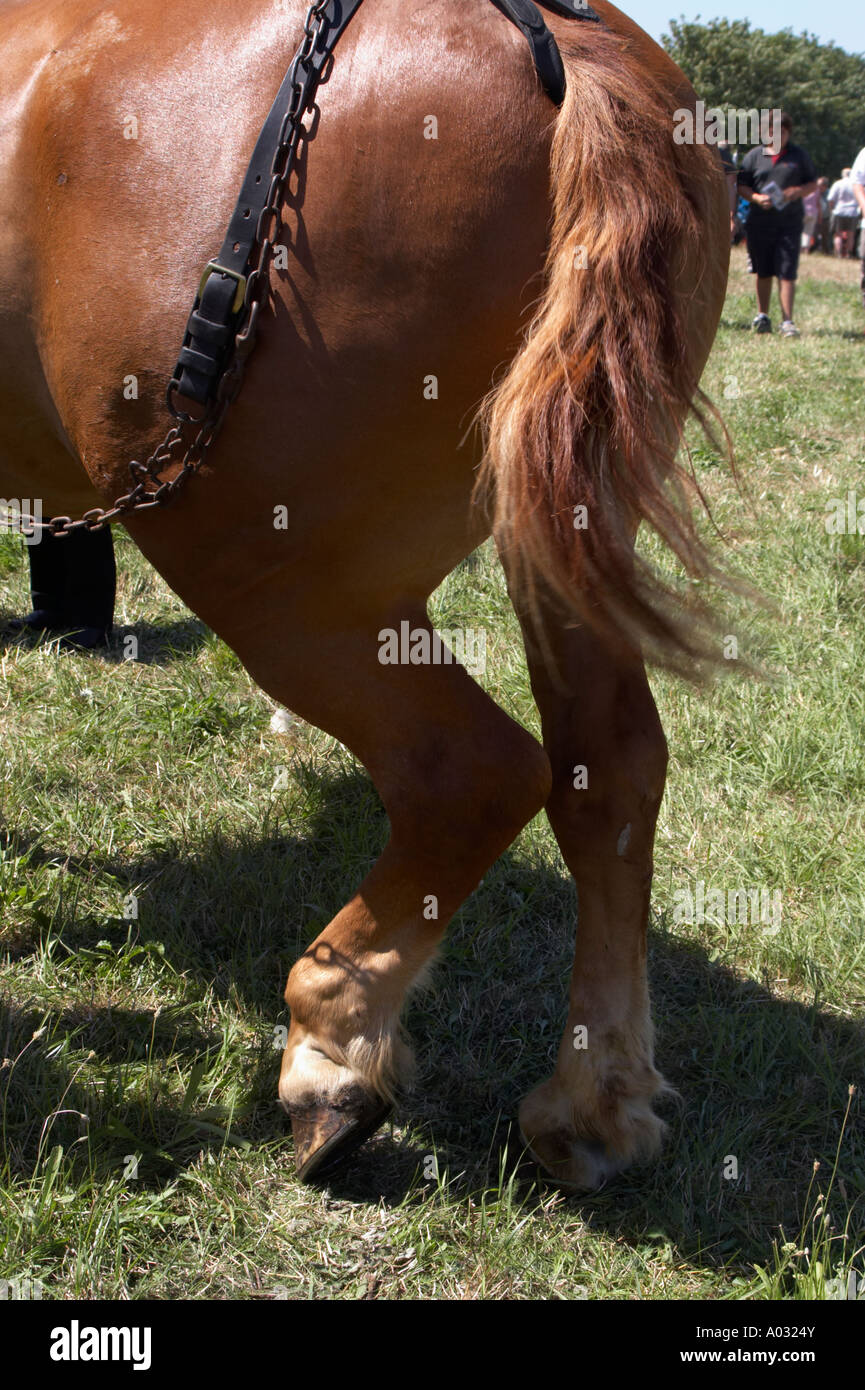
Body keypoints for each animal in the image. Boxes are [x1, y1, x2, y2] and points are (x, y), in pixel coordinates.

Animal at [0, 0, 728, 1186]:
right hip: (564, 526)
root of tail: (556, 36)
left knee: (469, 772)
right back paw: (595, 1097)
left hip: (278, 578)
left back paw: (332, 1048)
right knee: (610, 770)